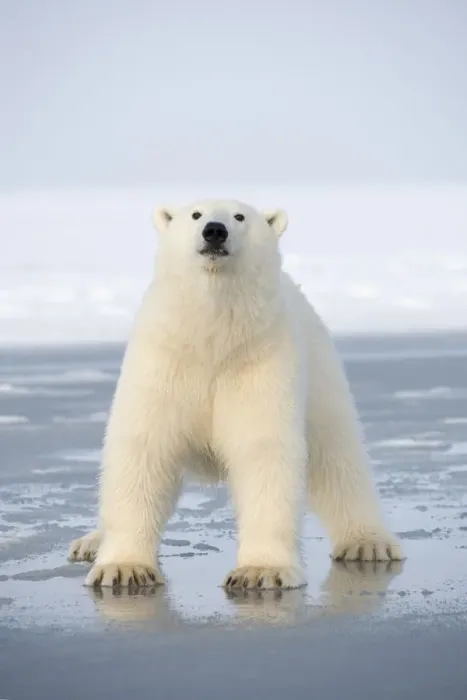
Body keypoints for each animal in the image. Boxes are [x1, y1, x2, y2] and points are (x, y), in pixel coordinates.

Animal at [68, 198, 403, 590]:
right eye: (195, 214)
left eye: (240, 216)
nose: (215, 231)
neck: (213, 339)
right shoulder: (163, 364)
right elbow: (144, 449)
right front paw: (123, 567)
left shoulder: (259, 365)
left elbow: (264, 452)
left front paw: (260, 571)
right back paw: (90, 542)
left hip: (319, 371)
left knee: (338, 456)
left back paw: (369, 543)